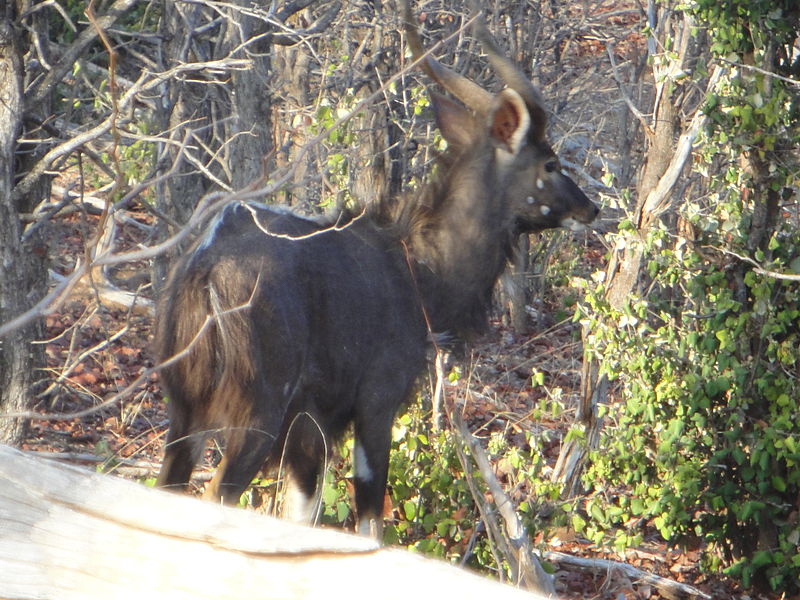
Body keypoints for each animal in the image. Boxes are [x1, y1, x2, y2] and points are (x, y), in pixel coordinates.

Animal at [156, 0, 596, 536]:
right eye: (550, 164)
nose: (590, 209)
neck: (415, 269)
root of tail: (205, 270)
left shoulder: (310, 431)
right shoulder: (375, 403)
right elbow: (370, 518)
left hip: (185, 415)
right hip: (255, 416)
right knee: (216, 494)